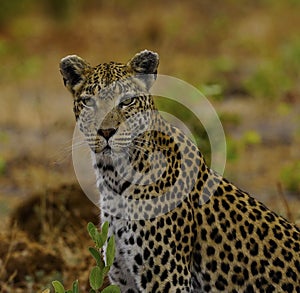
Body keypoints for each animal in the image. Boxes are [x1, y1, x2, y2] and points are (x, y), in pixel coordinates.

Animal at [59, 49, 298, 290]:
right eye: (89, 102)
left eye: (127, 101)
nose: (106, 131)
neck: (113, 177)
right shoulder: (124, 278)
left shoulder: (167, 279)